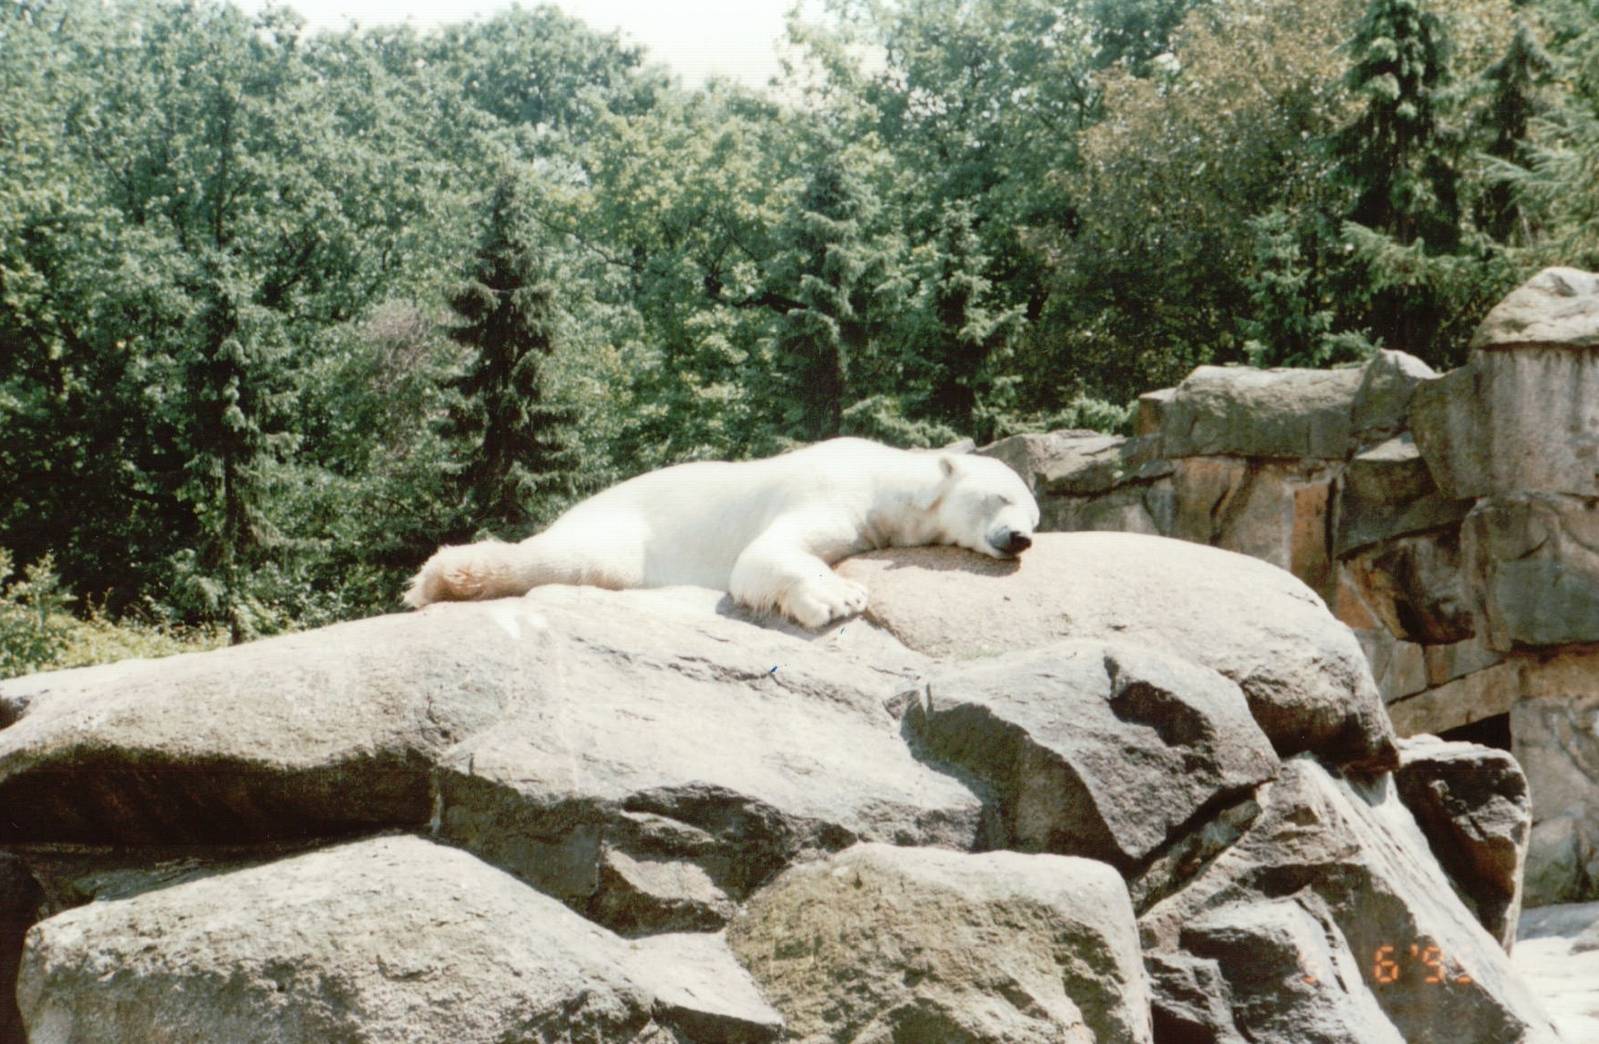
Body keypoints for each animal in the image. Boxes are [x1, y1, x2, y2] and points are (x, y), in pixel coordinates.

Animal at [404, 437, 1039, 629]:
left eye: (1035, 517)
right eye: (1001, 496)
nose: (1021, 539)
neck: (887, 479)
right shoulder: (832, 489)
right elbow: (764, 553)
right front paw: (839, 598)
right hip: (621, 527)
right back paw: (440, 577)